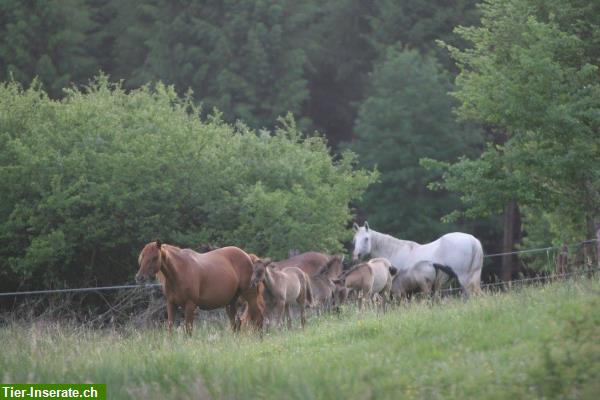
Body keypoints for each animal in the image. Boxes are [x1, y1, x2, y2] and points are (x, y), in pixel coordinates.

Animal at [352, 222, 482, 296]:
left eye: (366, 239)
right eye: (355, 239)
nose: (356, 255)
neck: (394, 251)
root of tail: (473, 241)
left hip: (464, 278)